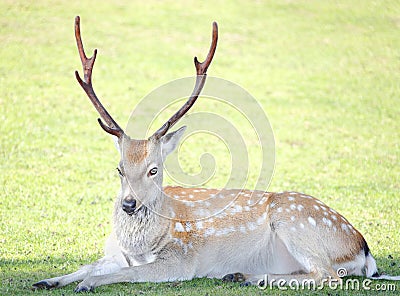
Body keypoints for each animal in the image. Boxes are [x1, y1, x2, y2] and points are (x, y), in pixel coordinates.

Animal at [32, 16, 398, 292]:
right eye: (119, 168)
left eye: (154, 169)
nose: (129, 204)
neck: (141, 244)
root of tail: (364, 249)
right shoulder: (114, 253)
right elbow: (88, 264)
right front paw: (47, 280)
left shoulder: (179, 259)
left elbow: (123, 272)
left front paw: (86, 284)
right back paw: (240, 275)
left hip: (294, 219)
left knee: (329, 275)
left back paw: (247, 276)